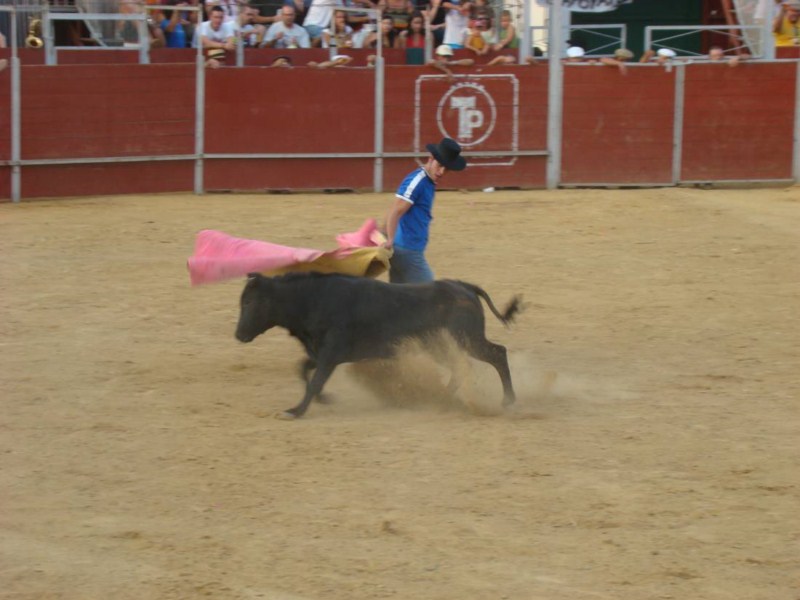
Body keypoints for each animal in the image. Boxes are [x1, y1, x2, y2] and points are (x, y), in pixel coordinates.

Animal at [234, 274, 520, 420]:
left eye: (249, 302)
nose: (238, 334)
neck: (311, 297)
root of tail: (464, 286)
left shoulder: (330, 354)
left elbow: (314, 380)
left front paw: (295, 411)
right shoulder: (322, 352)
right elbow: (303, 369)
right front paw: (323, 399)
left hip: (467, 339)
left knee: (497, 354)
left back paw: (508, 400)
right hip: (441, 345)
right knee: (460, 367)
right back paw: (443, 397)